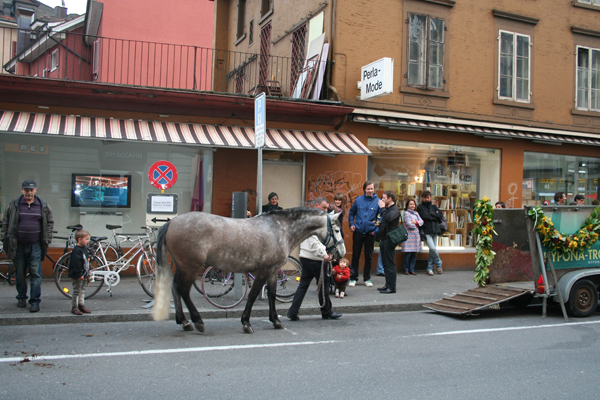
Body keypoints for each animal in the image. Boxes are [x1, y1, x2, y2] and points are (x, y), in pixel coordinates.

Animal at [152, 208, 344, 332]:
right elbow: (252, 295)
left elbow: (271, 295)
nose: (341, 253)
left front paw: (275, 320)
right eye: (336, 229)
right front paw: (246, 322)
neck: (280, 229)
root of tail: (172, 223)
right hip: (191, 267)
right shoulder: (264, 271)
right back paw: (197, 321)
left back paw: (184, 321)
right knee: (183, 290)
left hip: (182, 266)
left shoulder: (272, 271)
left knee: (175, 287)